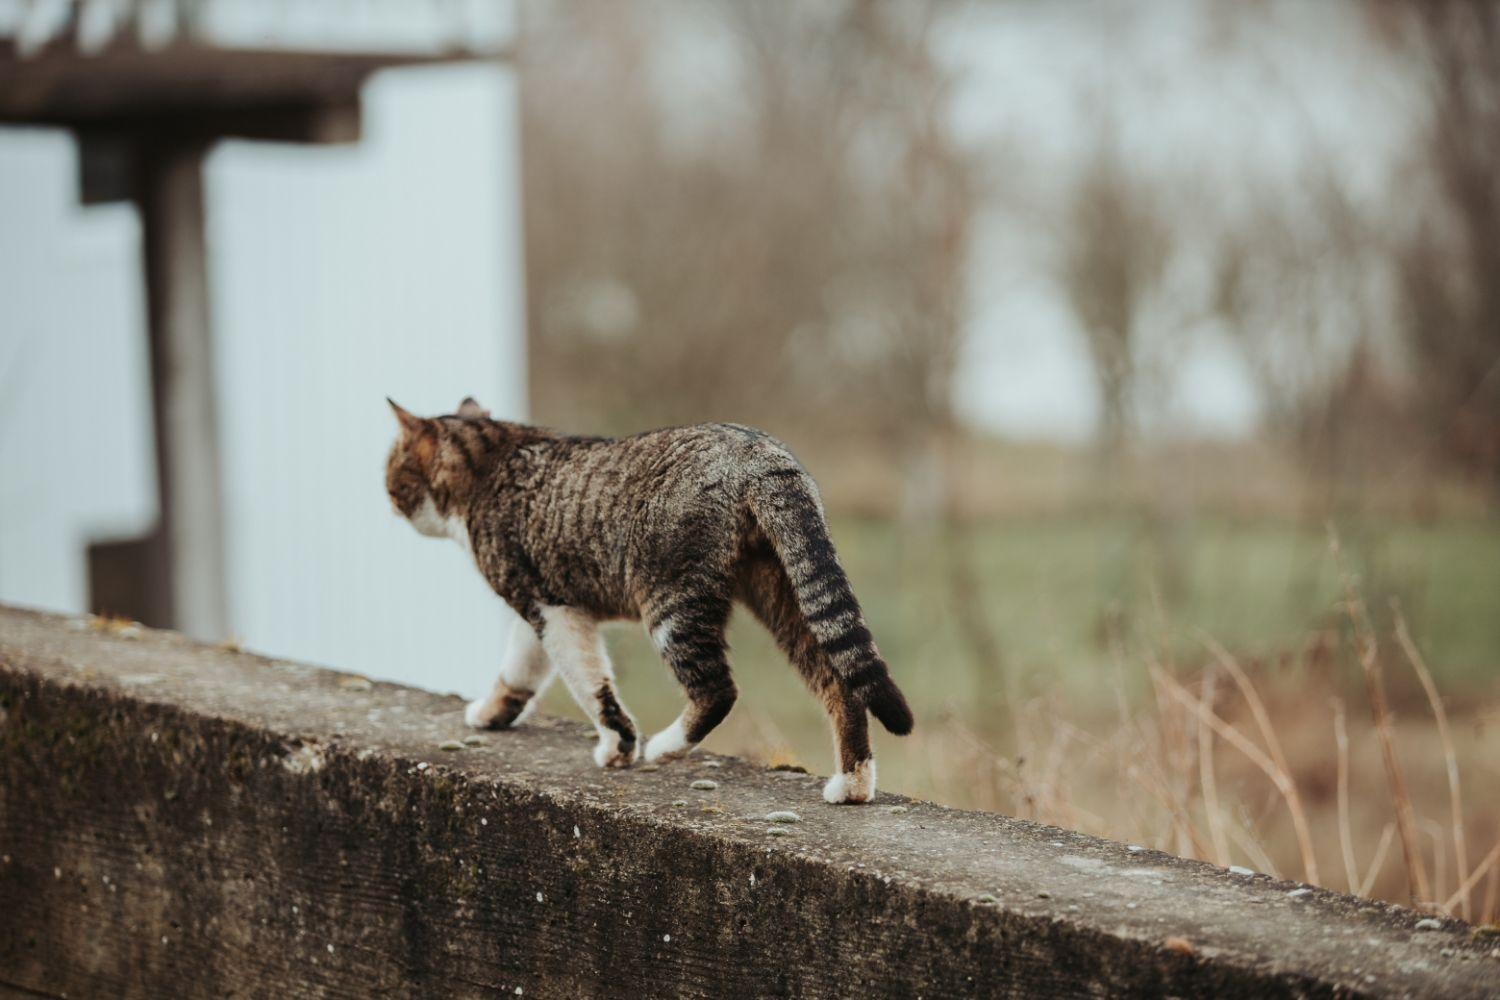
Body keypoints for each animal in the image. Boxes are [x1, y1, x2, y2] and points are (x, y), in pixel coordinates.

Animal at [384, 395, 912, 803]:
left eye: (391, 471)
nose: (387, 500)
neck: (493, 458)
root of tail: (757, 453)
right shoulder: (542, 603)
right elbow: (520, 668)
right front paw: (493, 713)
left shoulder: (551, 608)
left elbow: (589, 684)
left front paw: (619, 747)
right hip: (785, 590)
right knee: (841, 682)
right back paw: (852, 785)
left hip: (671, 604)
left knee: (718, 690)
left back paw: (664, 747)